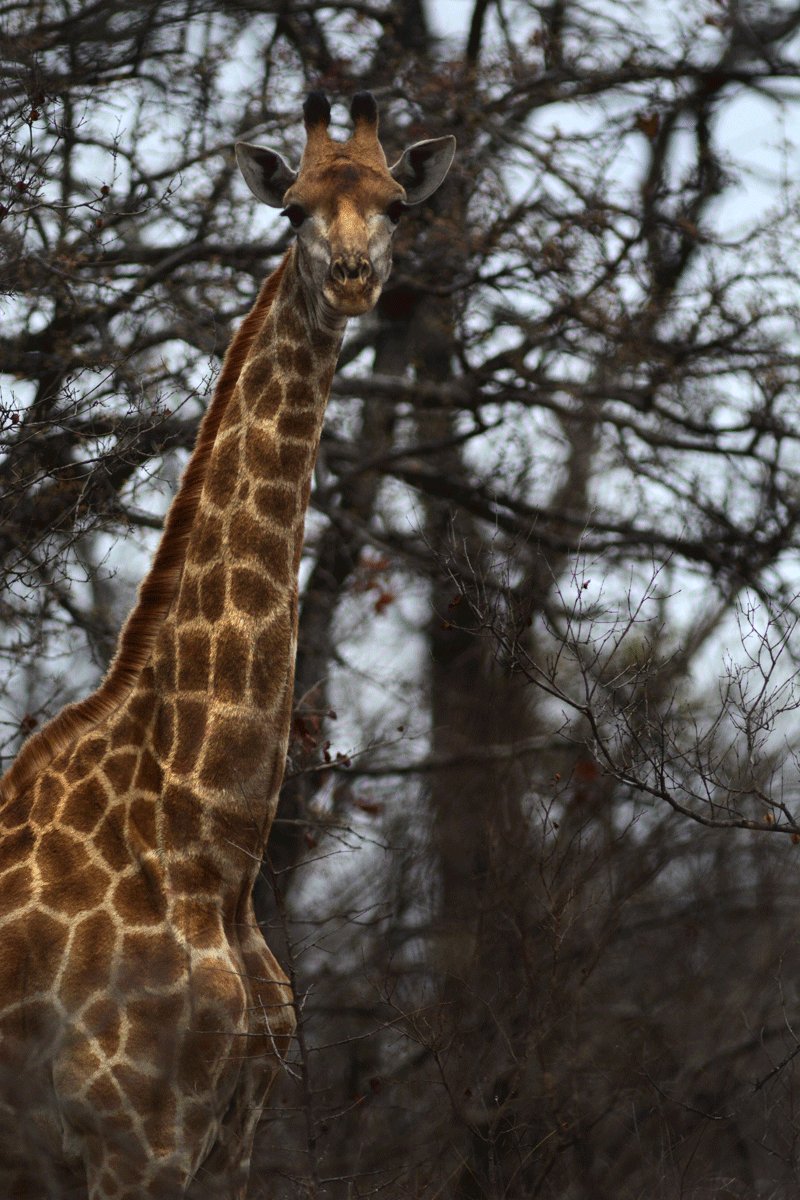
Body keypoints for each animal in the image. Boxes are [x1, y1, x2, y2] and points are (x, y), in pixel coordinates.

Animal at [0, 91, 454, 1199]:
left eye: (395, 203)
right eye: (290, 210)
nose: (352, 277)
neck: (209, 848)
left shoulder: (228, 1143)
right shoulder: (133, 1143)